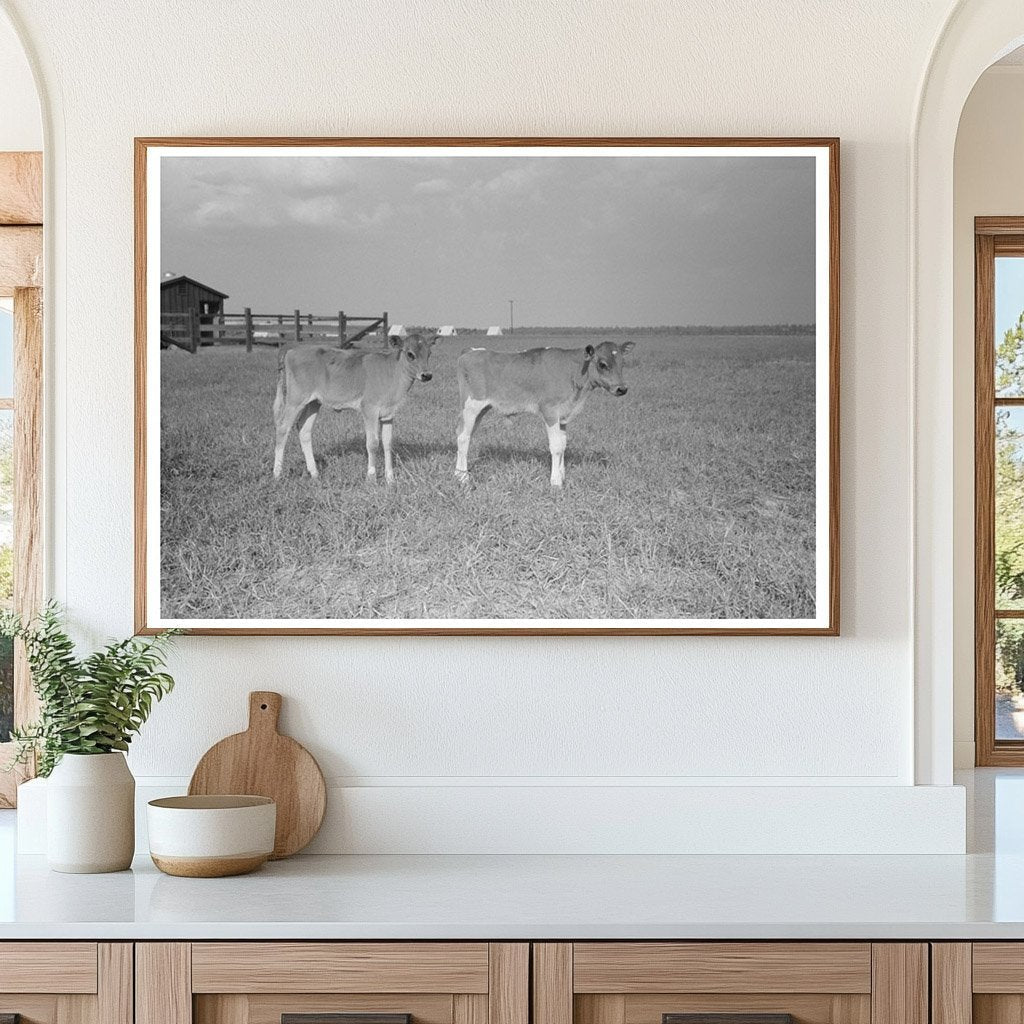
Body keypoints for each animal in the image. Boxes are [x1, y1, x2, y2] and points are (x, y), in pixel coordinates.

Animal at [270, 331, 434, 483]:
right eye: (410, 354)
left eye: (429, 353)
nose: (427, 375)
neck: (392, 372)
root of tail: (292, 349)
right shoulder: (369, 409)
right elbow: (373, 443)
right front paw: (371, 477)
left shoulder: (388, 414)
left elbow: (387, 443)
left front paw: (390, 479)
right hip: (295, 400)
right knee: (283, 428)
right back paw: (277, 474)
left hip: (313, 402)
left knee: (304, 429)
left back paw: (314, 473)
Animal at [456, 339, 630, 487]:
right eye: (602, 364)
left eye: (623, 363)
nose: (622, 388)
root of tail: (471, 351)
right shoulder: (550, 411)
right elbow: (556, 446)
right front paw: (556, 482)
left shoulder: (563, 416)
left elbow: (563, 445)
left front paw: (562, 475)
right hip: (471, 406)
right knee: (463, 437)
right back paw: (463, 477)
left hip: (481, 409)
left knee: (466, 434)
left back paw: (458, 473)